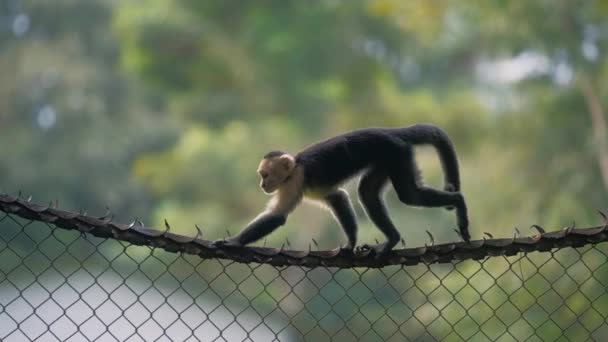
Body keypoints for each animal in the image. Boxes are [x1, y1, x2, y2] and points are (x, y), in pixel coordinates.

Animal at [214, 124, 470, 255]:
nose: (262, 185)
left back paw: (458, 201)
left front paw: (234, 241)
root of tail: (392, 131)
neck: (296, 166)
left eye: (265, 175)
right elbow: (337, 197)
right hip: (388, 158)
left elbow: (277, 216)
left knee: (409, 195)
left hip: (396, 152)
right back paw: (392, 240)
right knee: (367, 192)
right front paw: (350, 244)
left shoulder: (295, 180)